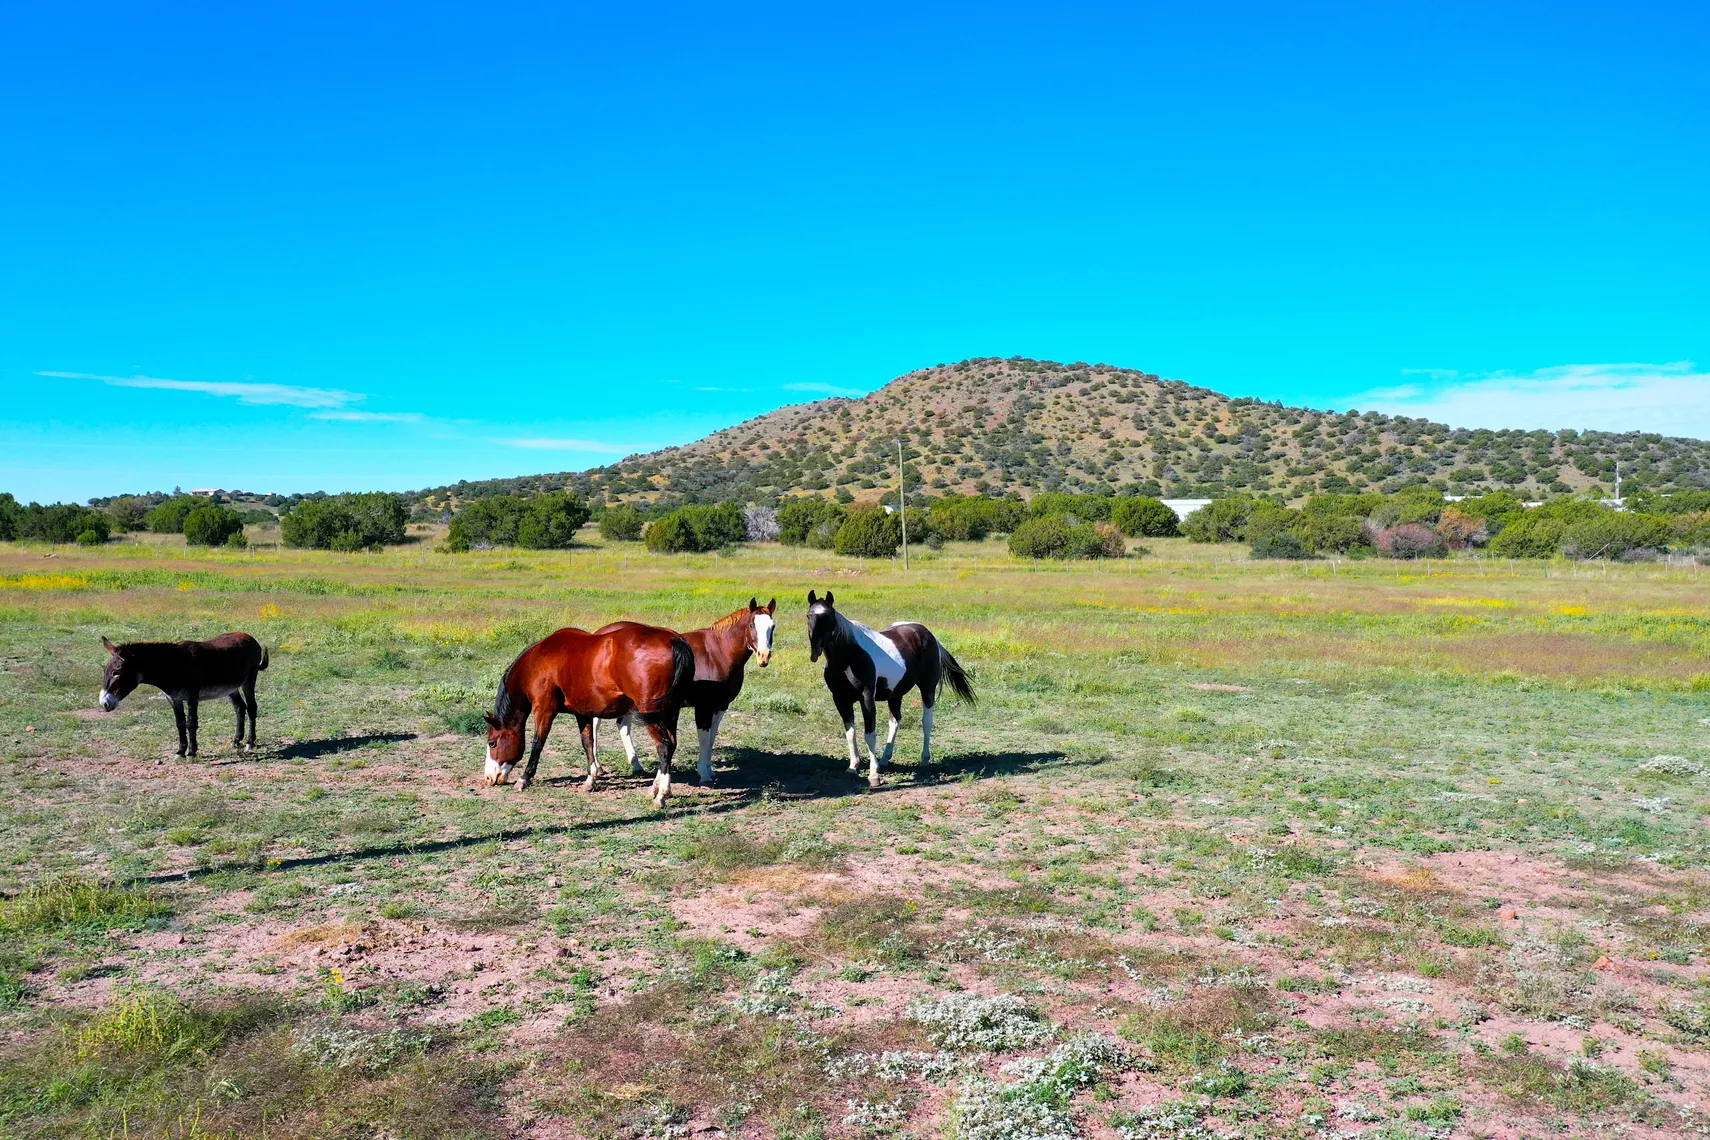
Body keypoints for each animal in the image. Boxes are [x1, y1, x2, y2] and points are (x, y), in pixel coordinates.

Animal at [98, 632, 269, 757]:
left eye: (117, 672)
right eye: (105, 670)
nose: (104, 703)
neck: (173, 666)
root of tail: (249, 636)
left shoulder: (192, 696)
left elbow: (191, 723)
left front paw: (192, 753)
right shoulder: (173, 698)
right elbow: (180, 723)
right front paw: (180, 752)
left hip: (249, 678)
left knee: (252, 707)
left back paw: (250, 743)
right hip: (232, 688)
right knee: (240, 707)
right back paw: (236, 740)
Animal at [483, 623, 695, 807]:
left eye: (492, 743)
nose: (489, 778)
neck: (536, 661)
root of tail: (673, 639)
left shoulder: (544, 710)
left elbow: (537, 743)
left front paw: (524, 778)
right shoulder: (582, 713)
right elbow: (588, 743)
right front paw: (590, 779)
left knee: (664, 747)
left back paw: (661, 795)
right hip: (670, 713)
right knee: (671, 745)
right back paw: (655, 788)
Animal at [601, 598, 776, 788]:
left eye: (772, 626)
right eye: (752, 624)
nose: (764, 656)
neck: (718, 653)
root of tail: (601, 634)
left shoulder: (720, 707)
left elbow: (712, 738)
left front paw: (710, 770)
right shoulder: (703, 707)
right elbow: (704, 739)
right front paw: (704, 775)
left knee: (622, 724)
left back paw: (635, 765)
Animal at [804, 590, 974, 787]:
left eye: (829, 617)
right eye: (809, 616)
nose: (815, 650)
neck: (849, 657)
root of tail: (929, 634)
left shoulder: (867, 697)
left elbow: (869, 734)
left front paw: (873, 775)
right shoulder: (840, 699)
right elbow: (850, 733)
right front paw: (853, 767)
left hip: (927, 689)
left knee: (926, 722)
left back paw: (924, 759)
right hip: (895, 694)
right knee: (895, 721)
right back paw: (885, 759)